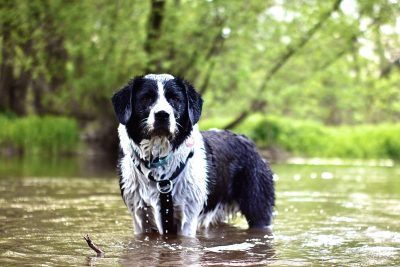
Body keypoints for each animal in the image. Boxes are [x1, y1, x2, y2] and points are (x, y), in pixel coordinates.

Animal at [111, 73, 276, 237]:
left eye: (175, 99)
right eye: (146, 98)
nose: (162, 115)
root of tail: (247, 140)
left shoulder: (188, 218)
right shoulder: (140, 217)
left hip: (258, 208)